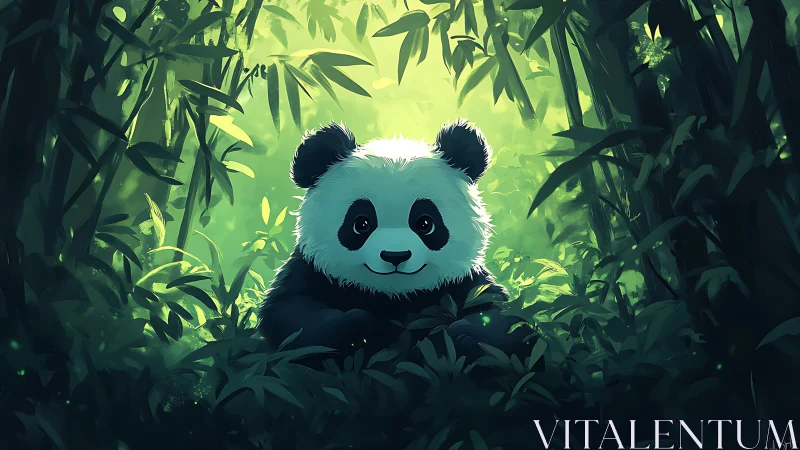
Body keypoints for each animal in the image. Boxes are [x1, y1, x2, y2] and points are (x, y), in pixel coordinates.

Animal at [258, 119, 531, 367]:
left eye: (425, 223)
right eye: (361, 223)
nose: (395, 256)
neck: (394, 295)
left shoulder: (461, 281)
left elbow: (501, 318)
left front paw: (455, 338)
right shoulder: (313, 270)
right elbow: (292, 314)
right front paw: (363, 330)